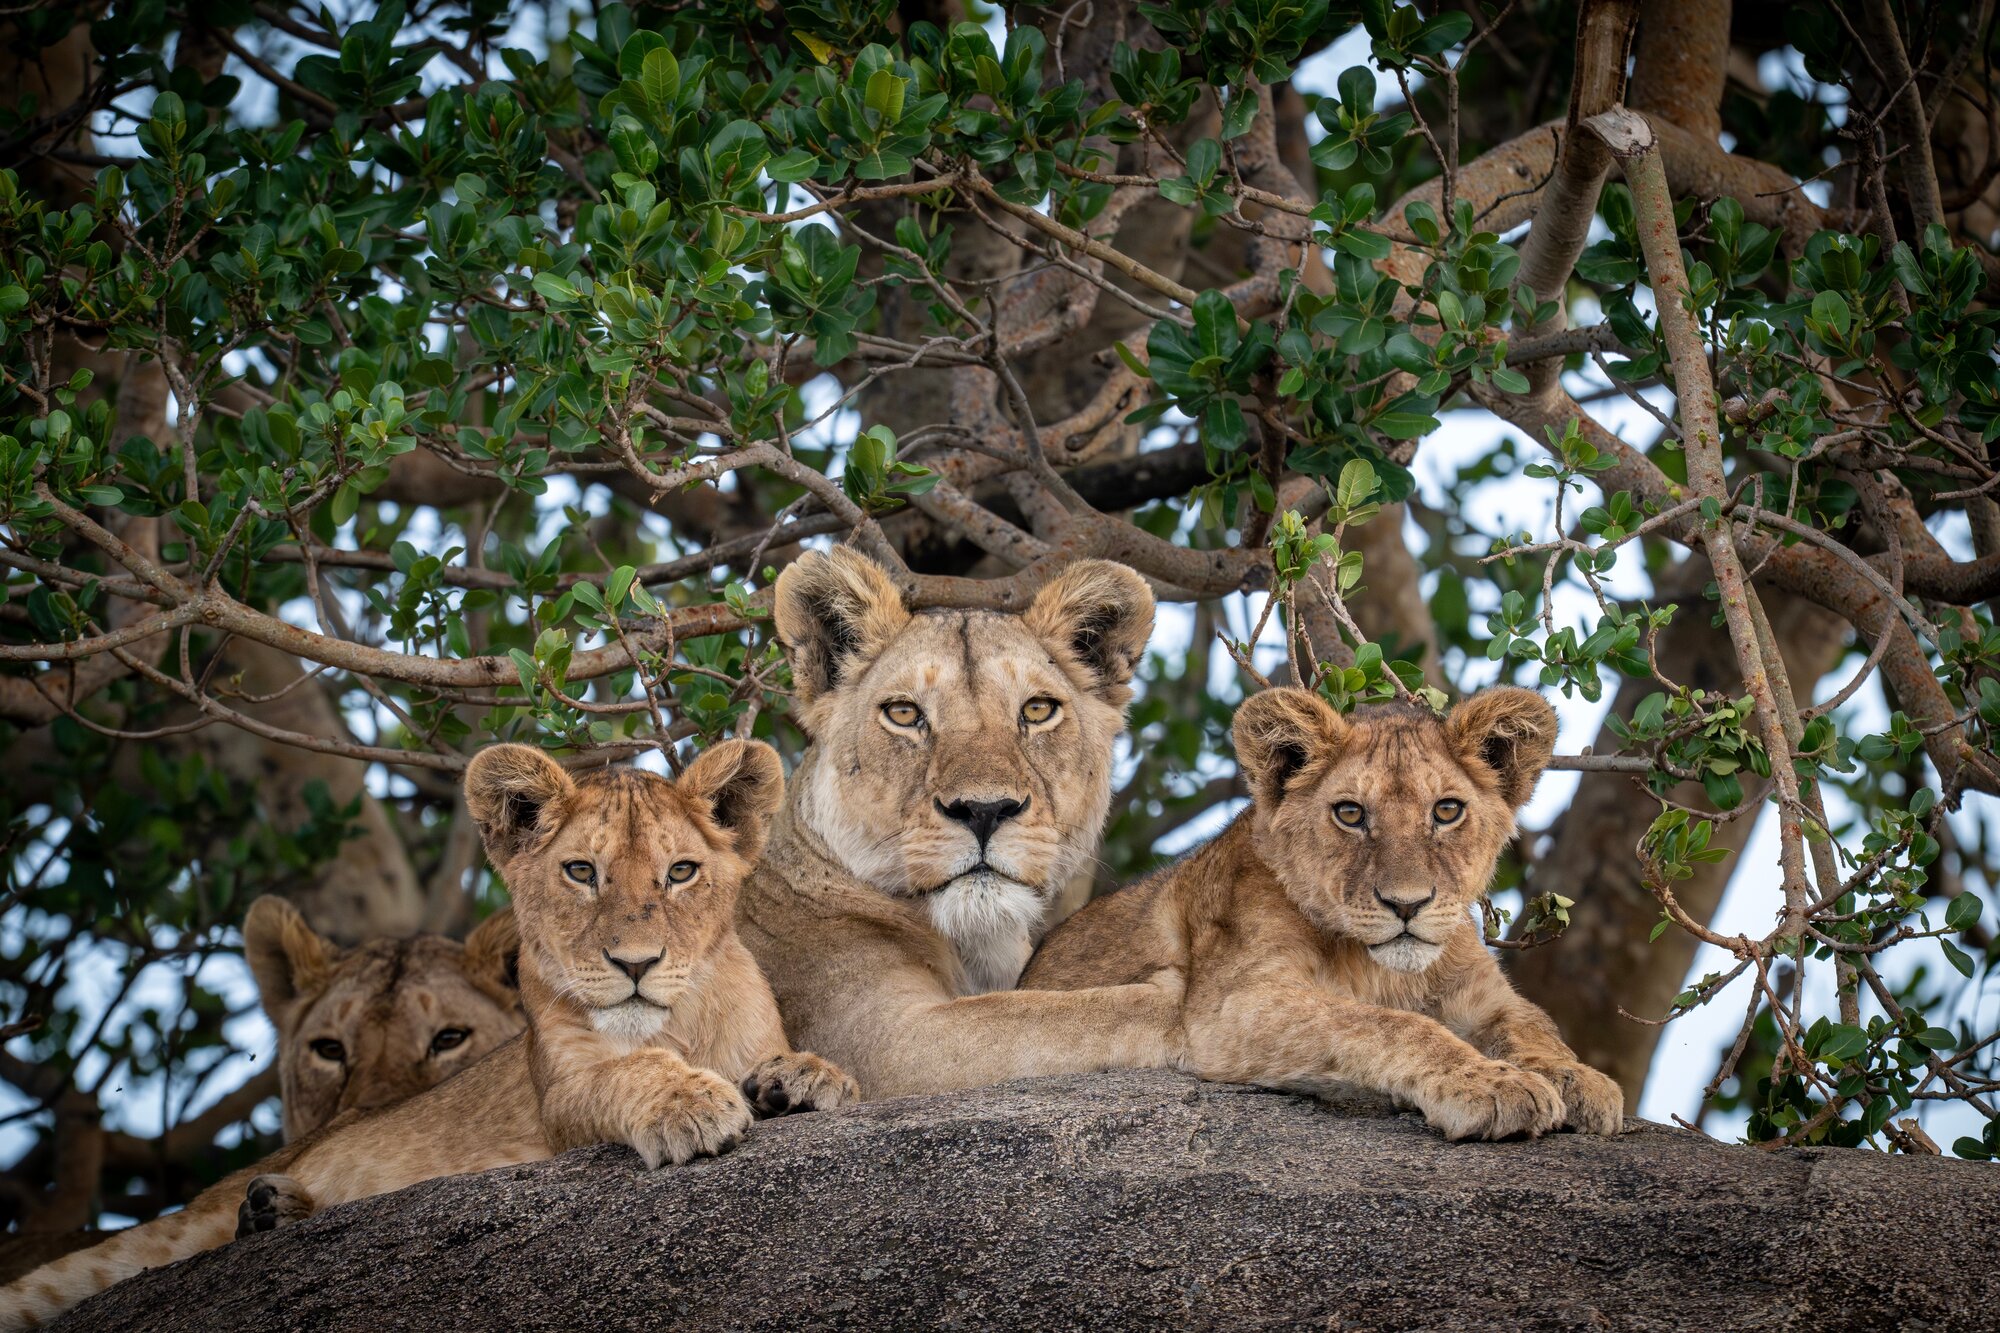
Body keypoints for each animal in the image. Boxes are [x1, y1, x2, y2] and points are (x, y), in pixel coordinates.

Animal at [735, 548, 1185, 1099]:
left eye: (1038, 710)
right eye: (903, 713)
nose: (984, 810)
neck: (975, 949)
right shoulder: (883, 1044)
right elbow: (1061, 1015)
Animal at [1022, 686, 1625, 1141]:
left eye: (1447, 811)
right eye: (1350, 814)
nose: (1407, 904)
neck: (1382, 971)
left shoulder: (1484, 995)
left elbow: (1534, 1025)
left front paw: (1577, 1077)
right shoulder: (1232, 1006)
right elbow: (1389, 1024)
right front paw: (1490, 1084)